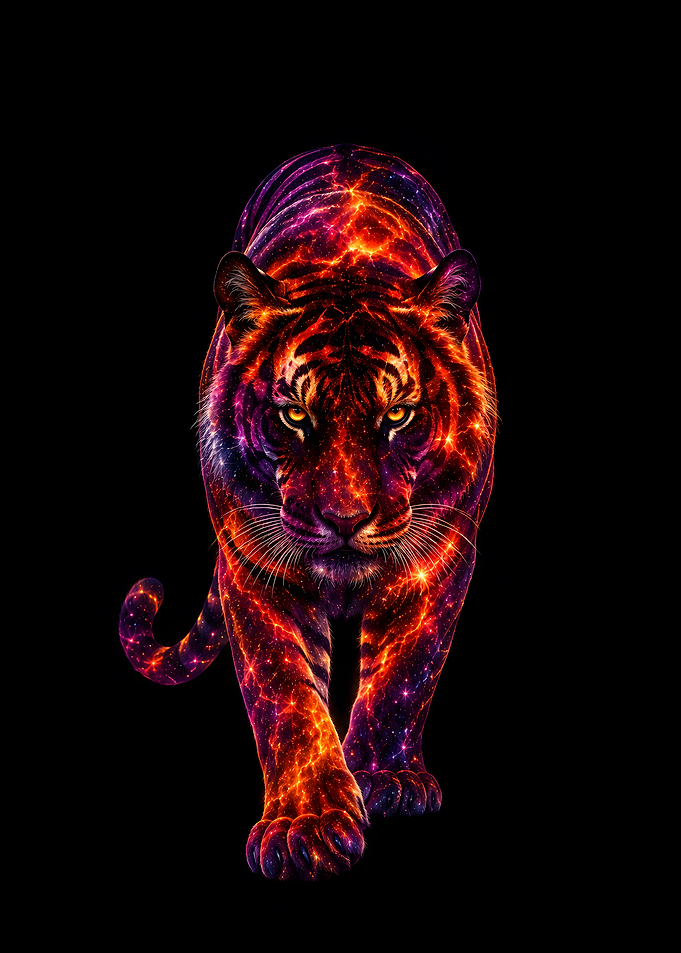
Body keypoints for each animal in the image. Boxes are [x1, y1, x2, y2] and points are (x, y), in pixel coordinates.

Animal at [119, 143, 496, 881]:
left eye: (397, 416)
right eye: (294, 415)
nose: (344, 519)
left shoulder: (443, 551)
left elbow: (406, 672)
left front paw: (385, 779)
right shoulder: (253, 562)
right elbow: (285, 694)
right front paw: (308, 826)